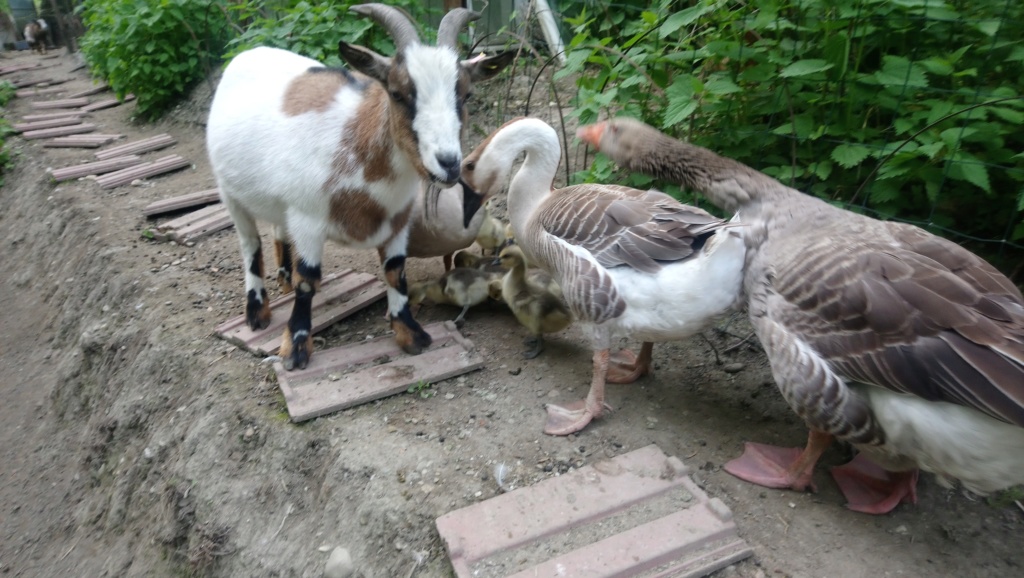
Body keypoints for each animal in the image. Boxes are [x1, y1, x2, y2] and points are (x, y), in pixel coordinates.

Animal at [206, 3, 512, 370]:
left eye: (466, 94)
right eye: (397, 93)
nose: (449, 163)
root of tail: (248, 53)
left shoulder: (397, 220)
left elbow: (396, 273)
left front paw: (411, 334)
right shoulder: (308, 219)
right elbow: (307, 280)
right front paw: (295, 348)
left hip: (279, 201)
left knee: (278, 229)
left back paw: (282, 279)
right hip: (230, 194)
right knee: (250, 246)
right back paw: (257, 312)